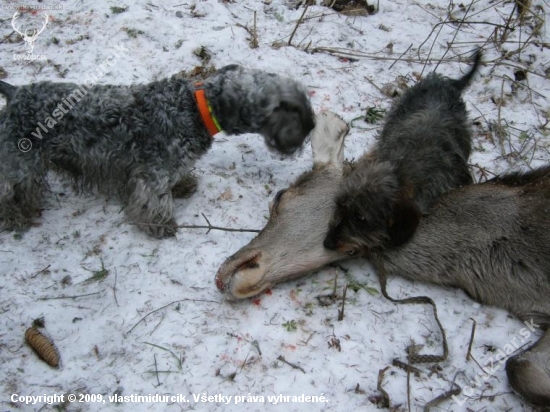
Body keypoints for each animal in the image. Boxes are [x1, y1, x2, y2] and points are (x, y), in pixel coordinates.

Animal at [0, 65, 314, 237]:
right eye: (284, 106)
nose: (311, 124)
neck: (194, 108)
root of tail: (15, 93)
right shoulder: (152, 175)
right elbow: (154, 202)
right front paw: (160, 226)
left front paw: (184, 184)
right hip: (21, 165)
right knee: (10, 195)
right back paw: (17, 218)